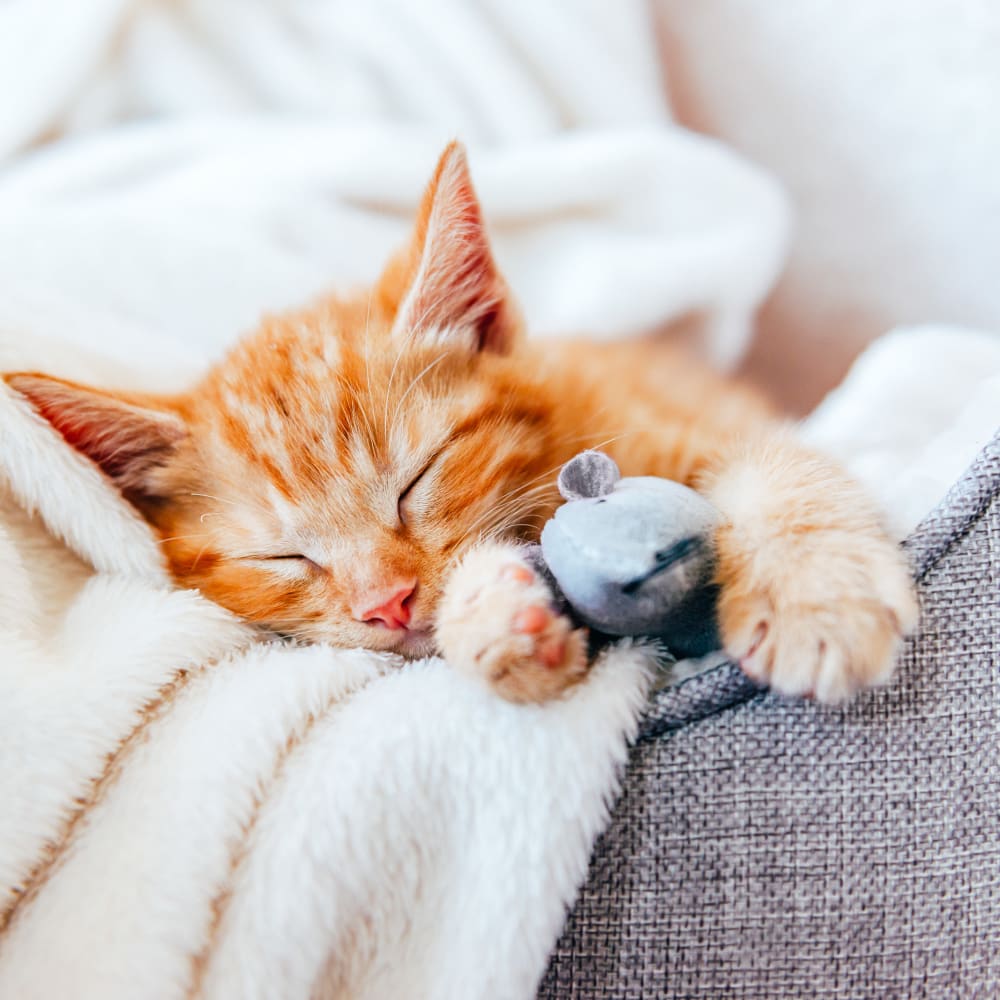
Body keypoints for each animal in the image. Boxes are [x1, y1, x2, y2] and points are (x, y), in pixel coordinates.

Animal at [3, 143, 916, 704]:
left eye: (416, 480)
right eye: (282, 556)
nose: (387, 605)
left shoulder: (707, 425)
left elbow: (778, 469)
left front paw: (816, 598)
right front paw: (499, 622)